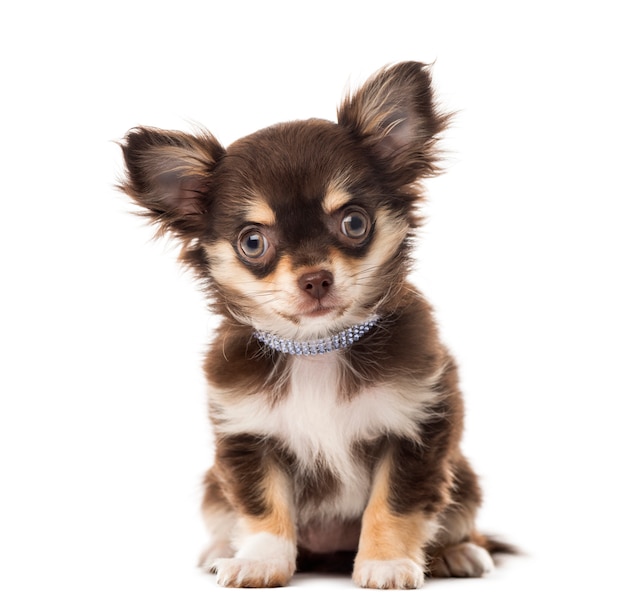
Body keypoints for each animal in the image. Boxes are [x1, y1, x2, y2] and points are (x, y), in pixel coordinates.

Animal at [119, 61, 504, 588]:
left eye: (355, 223)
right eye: (253, 242)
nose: (316, 278)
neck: (317, 348)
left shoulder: (419, 426)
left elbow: (395, 504)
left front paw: (386, 562)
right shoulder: (247, 436)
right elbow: (263, 506)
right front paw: (261, 561)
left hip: (463, 478)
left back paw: (458, 552)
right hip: (212, 488)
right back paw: (221, 550)